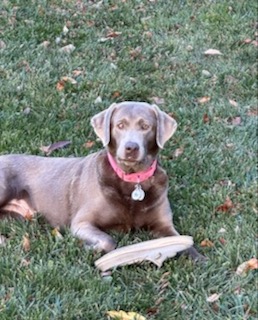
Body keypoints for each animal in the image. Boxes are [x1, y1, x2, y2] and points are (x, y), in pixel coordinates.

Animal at [0, 102, 202, 260]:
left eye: (146, 126)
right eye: (120, 125)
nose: (131, 147)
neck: (132, 180)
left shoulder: (164, 225)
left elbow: (185, 242)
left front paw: (200, 259)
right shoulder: (81, 223)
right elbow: (109, 240)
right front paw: (90, 248)